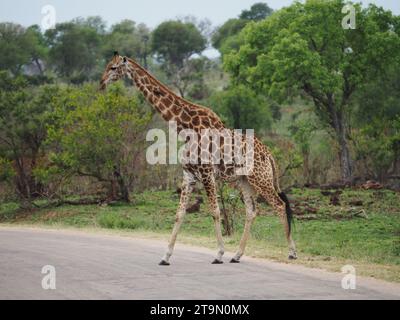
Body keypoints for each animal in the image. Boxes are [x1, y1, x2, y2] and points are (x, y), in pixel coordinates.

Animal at [98, 52, 296, 264]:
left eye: (113, 67)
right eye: (107, 66)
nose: (101, 83)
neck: (184, 127)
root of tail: (269, 155)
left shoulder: (207, 174)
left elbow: (215, 211)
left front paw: (219, 254)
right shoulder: (189, 175)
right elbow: (179, 214)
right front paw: (166, 256)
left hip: (261, 179)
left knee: (280, 204)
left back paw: (291, 252)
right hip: (245, 181)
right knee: (252, 211)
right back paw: (237, 255)